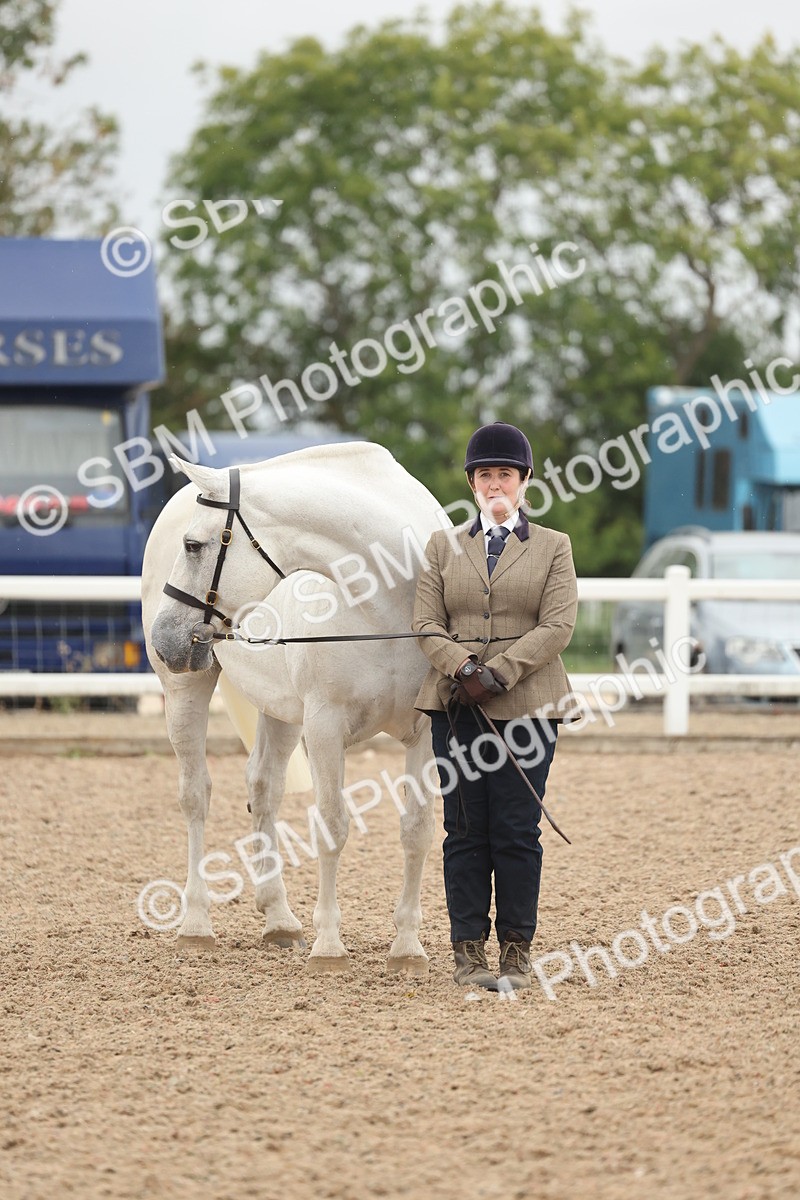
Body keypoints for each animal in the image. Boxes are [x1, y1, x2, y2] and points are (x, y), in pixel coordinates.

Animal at [142, 442, 455, 975]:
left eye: (194, 546)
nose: (166, 640)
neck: (389, 603)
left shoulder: (424, 733)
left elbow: (416, 830)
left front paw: (407, 948)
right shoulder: (324, 725)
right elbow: (332, 825)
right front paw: (329, 946)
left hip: (280, 709)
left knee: (264, 788)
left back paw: (280, 919)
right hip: (189, 690)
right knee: (196, 795)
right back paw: (197, 924)